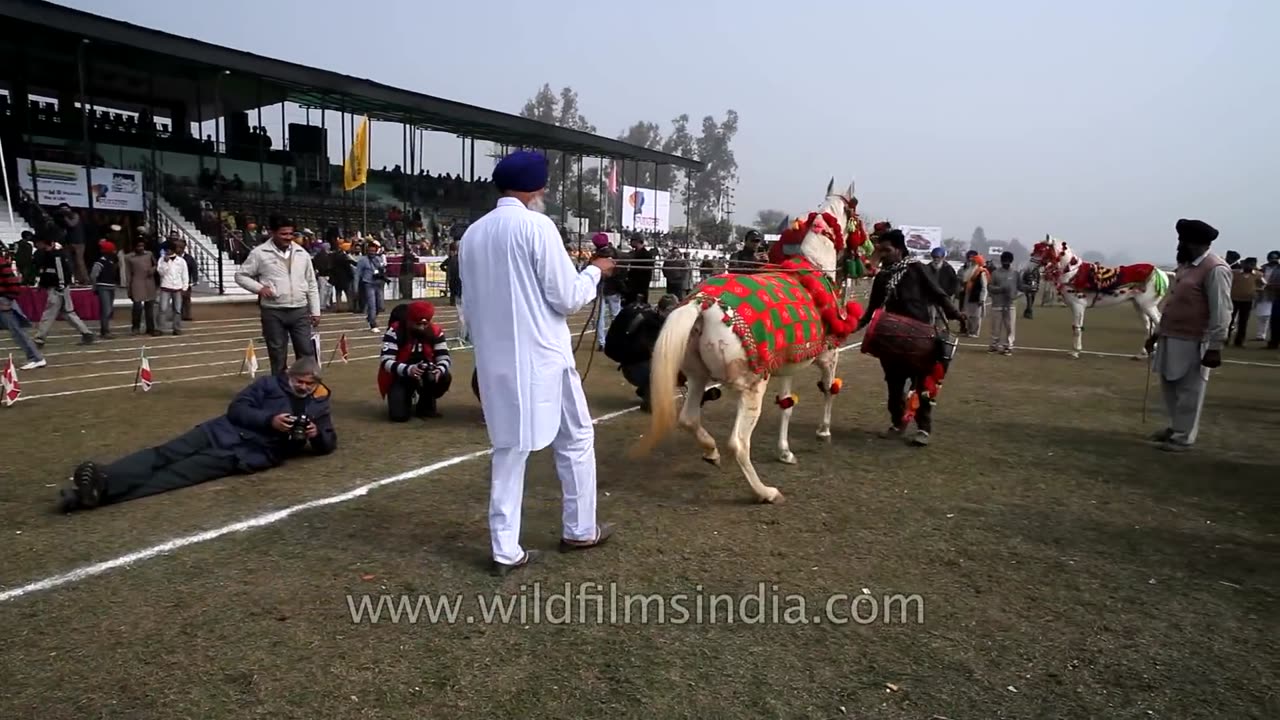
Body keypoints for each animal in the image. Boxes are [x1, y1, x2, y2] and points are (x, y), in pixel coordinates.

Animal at [632, 178, 870, 502]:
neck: (815, 267)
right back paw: (765, 491)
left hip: (697, 376)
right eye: (857, 212)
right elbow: (829, 390)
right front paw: (824, 432)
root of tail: (702, 304)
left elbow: (786, 405)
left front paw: (785, 452)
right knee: (738, 443)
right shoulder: (827, 355)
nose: (870, 250)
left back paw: (711, 452)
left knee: (689, 419)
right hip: (752, 385)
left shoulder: (788, 364)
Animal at [1029, 237, 1172, 356]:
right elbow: (1075, 326)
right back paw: (1143, 352)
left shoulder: (1078, 306)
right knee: (1149, 327)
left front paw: (1076, 351)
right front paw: (1075, 350)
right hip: (1139, 306)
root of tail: (1161, 272)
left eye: (1042, 250)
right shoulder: (1073, 307)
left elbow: (1077, 328)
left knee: (1158, 323)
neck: (1073, 274)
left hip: (1148, 305)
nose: (1030, 268)